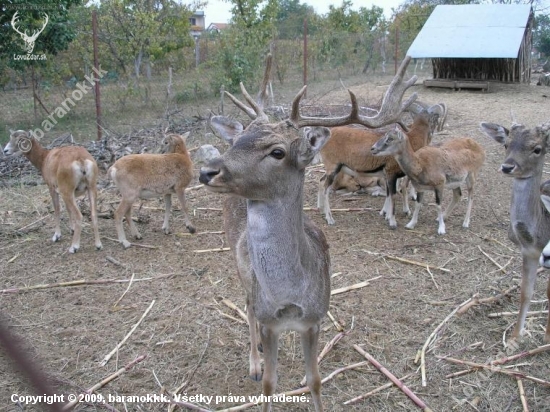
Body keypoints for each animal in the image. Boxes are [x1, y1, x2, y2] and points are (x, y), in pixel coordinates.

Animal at [480, 120, 548, 342]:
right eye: (506, 144)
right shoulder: (529, 252)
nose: (507, 166)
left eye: (537, 149)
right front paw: (515, 337)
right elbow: (525, 292)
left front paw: (547, 337)